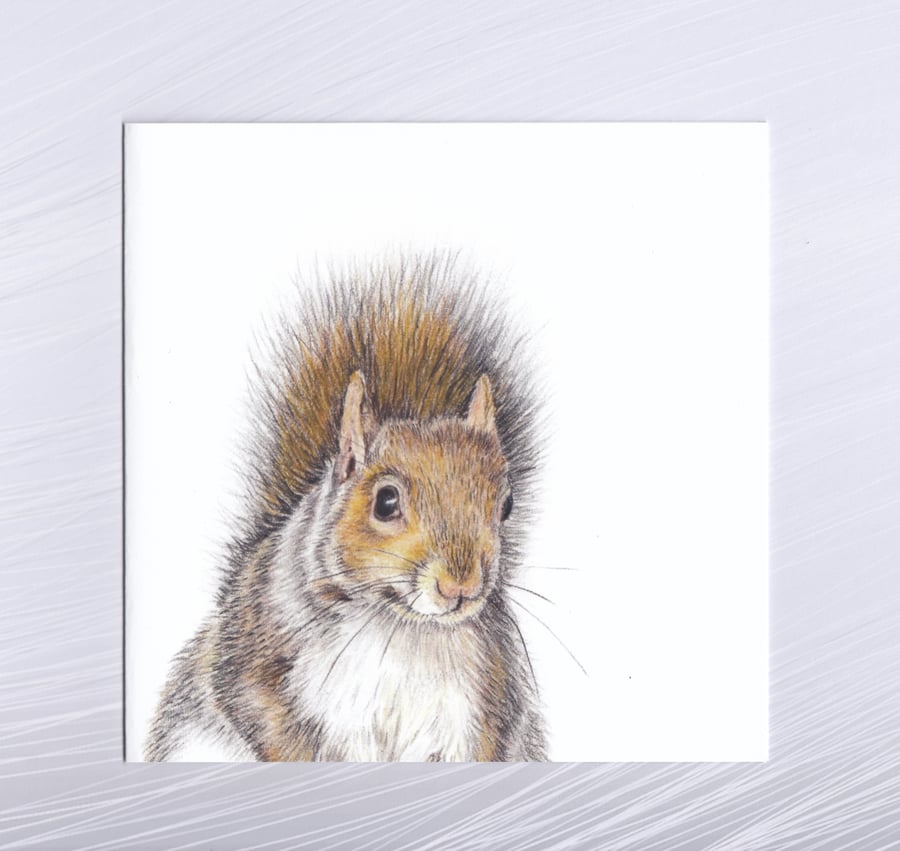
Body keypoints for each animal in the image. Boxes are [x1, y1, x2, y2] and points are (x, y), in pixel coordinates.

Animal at [144, 254, 547, 762]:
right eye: (386, 502)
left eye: (506, 505)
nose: (462, 587)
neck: (402, 629)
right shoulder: (257, 673)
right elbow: (264, 719)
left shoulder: (484, 706)